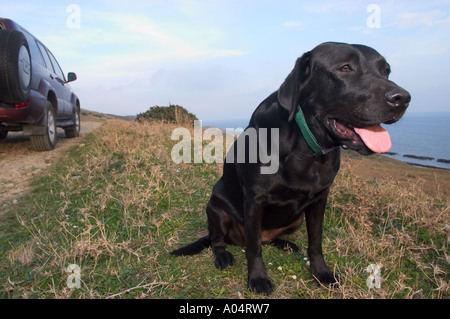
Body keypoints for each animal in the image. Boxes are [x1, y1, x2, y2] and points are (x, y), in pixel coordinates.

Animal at [172, 42, 412, 296]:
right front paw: (257, 278)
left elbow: (315, 241)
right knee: (220, 240)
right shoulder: (254, 199)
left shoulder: (320, 199)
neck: (306, 147)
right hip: (216, 206)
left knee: (266, 239)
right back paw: (223, 255)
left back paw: (285, 244)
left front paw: (321, 272)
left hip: (295, 218)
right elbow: (253, 248)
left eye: (386, 71)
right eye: (345, 68)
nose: (402, 98)